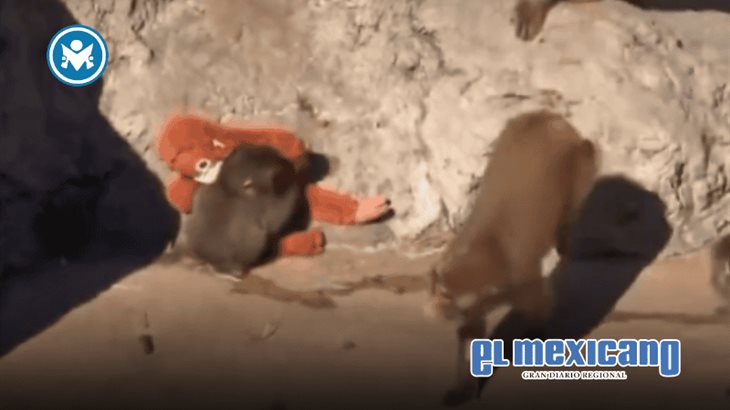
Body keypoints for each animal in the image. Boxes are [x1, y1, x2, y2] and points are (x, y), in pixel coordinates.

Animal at [423, 110, 599, 405]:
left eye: (443, 294)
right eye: (434, 290)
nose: (429, 310)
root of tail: (548, 116)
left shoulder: (520, 277)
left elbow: (539, 306)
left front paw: (540, 336)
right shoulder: (476, 297)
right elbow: (471, 335)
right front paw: (462, 388)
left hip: (578, 166)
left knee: (571, 212)